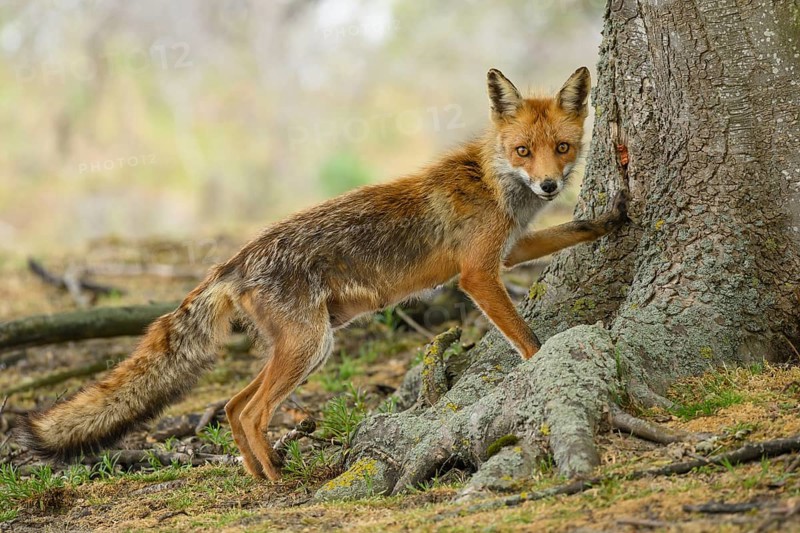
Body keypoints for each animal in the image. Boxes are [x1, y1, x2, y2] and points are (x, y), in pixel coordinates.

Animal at [20, 67, 628, 480]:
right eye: (523, 150)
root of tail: (233, 263)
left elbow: (575, 231)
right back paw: (276, 479)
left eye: (562, 147)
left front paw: (617, 217)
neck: (491, 181)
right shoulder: (477, 276)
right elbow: (526, 339)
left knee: (233, 406)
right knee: (251, 410)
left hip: (305, 346)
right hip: (312, 346)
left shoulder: (513, 250)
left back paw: (259, 474)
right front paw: (543, 364)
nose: (549, 185)